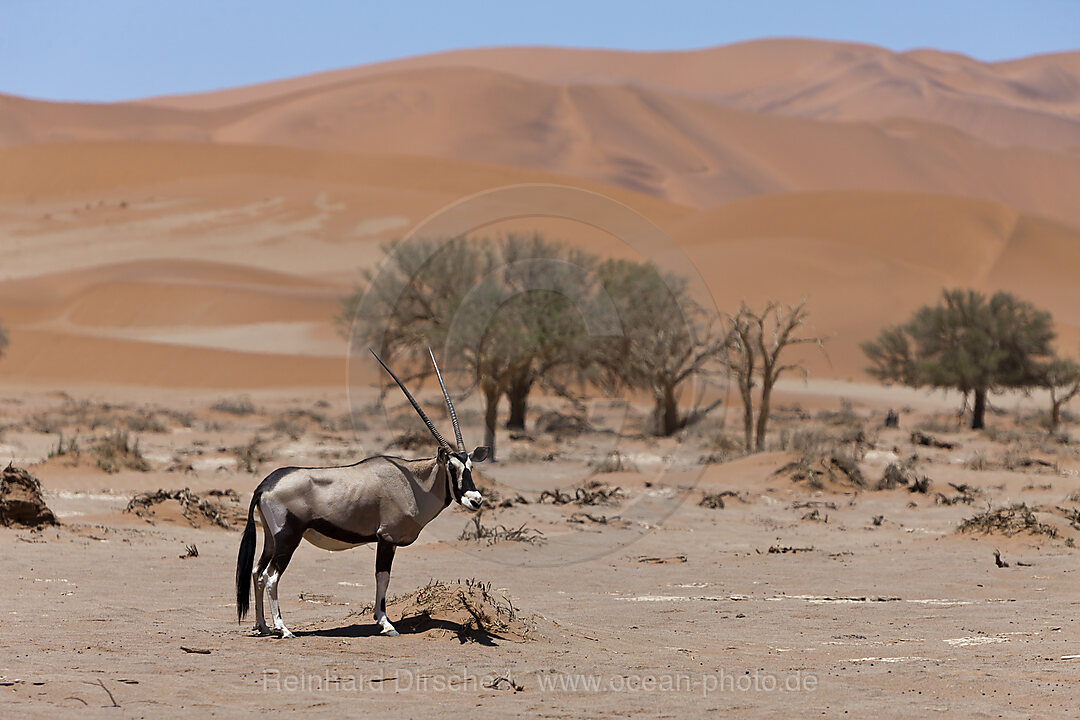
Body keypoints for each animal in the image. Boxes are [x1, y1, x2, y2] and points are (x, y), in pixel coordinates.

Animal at [238, 351, 492, 639]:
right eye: (451, 467)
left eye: (470, 466)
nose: (475, 499)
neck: (414, 482)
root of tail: (265, 485)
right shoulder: (387, 538)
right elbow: (383, 577)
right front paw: (385, 623)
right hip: (288, 539)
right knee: (270, 577)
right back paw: (283, 628)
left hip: (272, 539)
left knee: (257, 572)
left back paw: (262, 625)